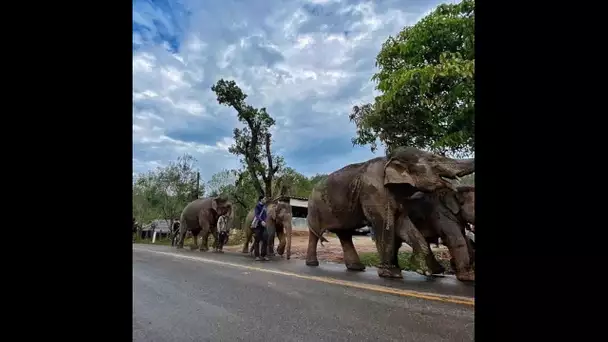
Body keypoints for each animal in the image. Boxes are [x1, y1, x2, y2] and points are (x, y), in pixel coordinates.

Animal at [306, 146, 472, 278]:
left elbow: (403, 224)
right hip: (315, 209)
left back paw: (357, 268)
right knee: (316, 234)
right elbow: (384, 224)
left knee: (345, 235)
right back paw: (313, 264)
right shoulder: (375, 191)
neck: (389, 159)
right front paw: (391, 274)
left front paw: (431, 271)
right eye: (433, 159)